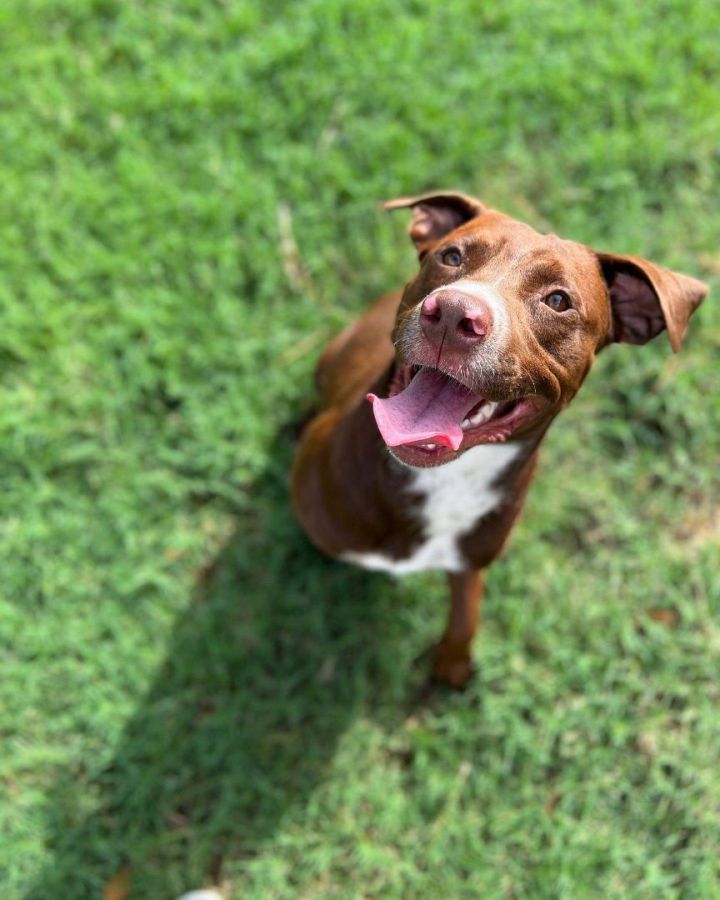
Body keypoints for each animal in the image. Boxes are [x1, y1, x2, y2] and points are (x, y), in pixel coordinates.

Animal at [290, 192, 704, 688]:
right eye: (452, 257)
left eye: (558, 300)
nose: (452, 314)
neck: (445, 479)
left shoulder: (473, 558)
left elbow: (467, 609)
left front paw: (453, 663)